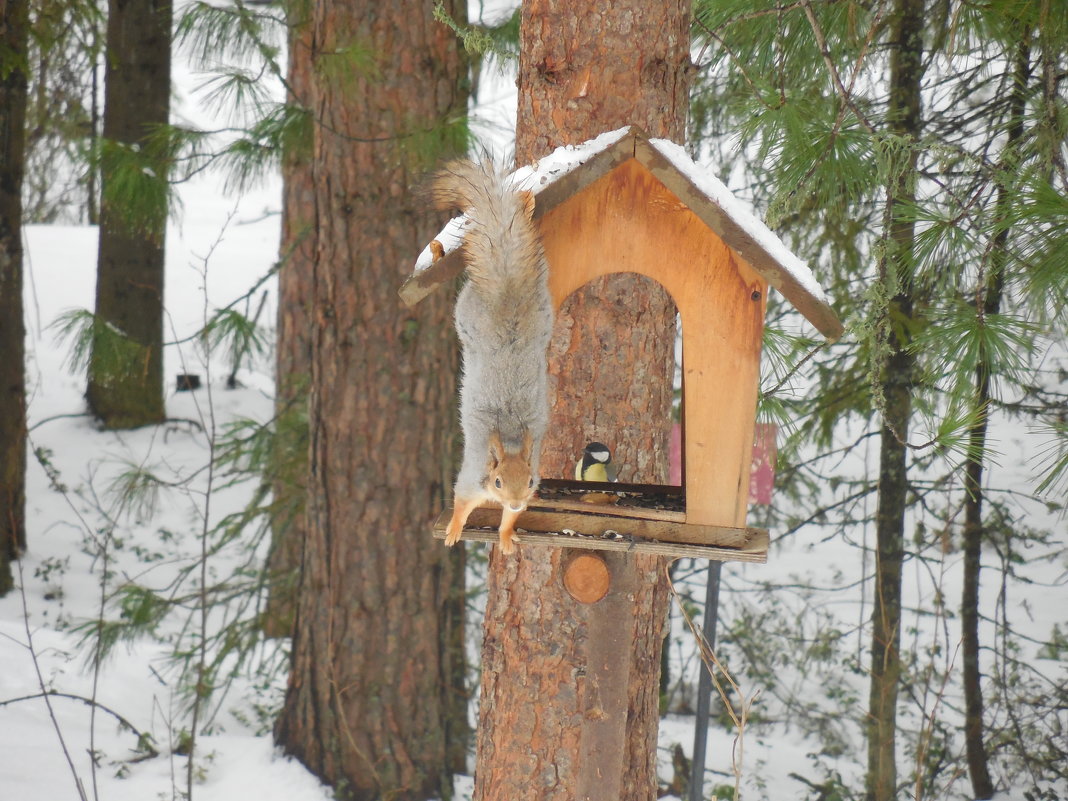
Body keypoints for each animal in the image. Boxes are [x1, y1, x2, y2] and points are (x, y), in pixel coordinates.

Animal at [429, 160, 555, 555]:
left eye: (530, 481)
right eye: (498, 482)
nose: (513, 501)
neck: (511, 439)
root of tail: (507, 290)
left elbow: (508, 522)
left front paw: (506, 536)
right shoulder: (471, 478)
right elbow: (461, 503)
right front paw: (453, 530)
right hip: (466, 313)